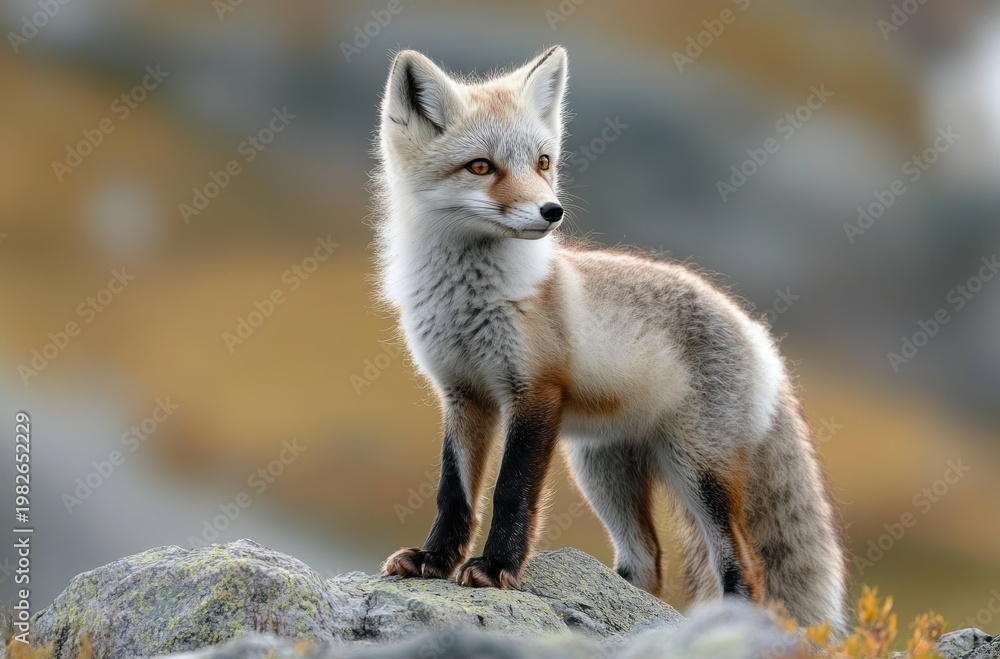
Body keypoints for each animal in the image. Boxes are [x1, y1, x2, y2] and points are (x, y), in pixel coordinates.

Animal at [373, 46, 848, 630]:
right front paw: (435, 560)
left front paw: (496, 567)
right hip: (602, 471)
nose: (551, 211)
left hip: (697, 472)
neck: (467, 301)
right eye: (481, 166)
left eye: (543, 163)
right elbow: (453, 493)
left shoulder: (536, 392)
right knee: (647, 562)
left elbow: (511, 492)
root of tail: (757, 332)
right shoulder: (464, 394)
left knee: (745, 565)